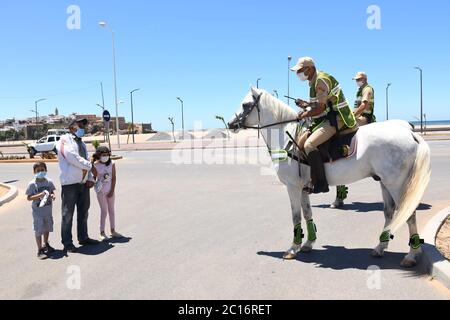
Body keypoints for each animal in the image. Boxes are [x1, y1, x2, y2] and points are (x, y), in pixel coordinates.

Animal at [229, 87, 432, 268]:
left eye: (245, 104)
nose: (230, 124)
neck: (287, 139)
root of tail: (410, 133)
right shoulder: (303, 189)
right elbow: (308, 214)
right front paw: (308, 244)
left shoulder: (293, 187)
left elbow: (296, 217)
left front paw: (293, 248)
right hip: (385, 183)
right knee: (389, 213)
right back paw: (380, 247)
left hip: (397, 184)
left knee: (409, 214)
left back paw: (411, 256)